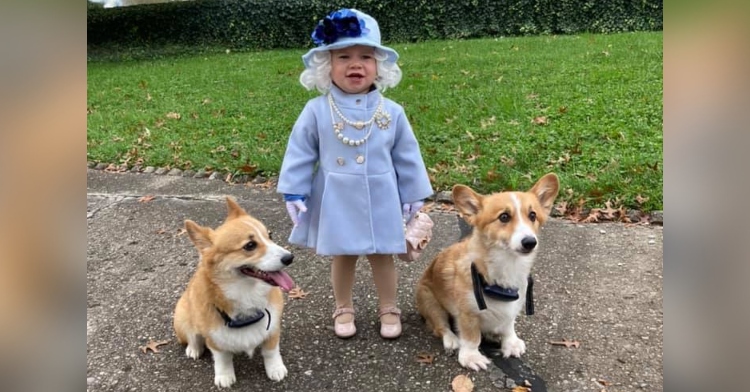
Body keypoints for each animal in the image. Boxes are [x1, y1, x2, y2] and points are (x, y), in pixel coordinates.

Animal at [175, 198, 296, 388]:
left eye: (270, 235)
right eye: (250, 245)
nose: (290, 258)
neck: (247, 293)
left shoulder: (273, 329)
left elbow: (271, 351)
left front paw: (275, 369)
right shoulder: (214, 339)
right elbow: (222, 358)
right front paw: (224, 376)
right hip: (182, 315)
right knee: (193, 335)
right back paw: (194, 349)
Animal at [414, 174, 560, 370]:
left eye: (532, 215)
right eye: (504, 217)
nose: (530, 242)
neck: (507, 265)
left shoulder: (513, 307)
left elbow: (508, 326)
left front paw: (511, 343)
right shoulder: (467, 313)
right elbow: (471, 338)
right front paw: (471, 357)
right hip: (429, 301)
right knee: (441, 326)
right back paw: (452, 340)